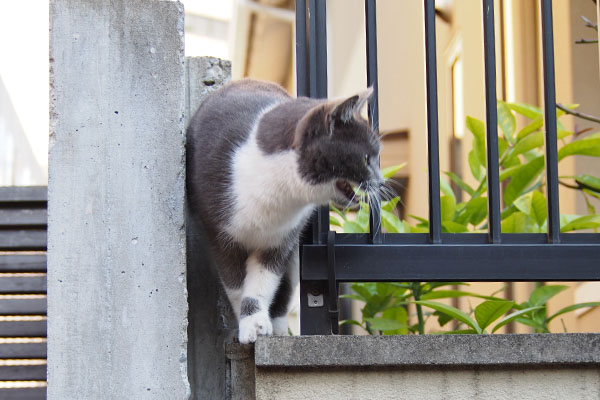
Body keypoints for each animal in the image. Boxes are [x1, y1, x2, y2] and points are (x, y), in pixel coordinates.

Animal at [188, 79, 384, 344]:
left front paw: (258, 323)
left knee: (286, 286)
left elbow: (264, 282)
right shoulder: (219, 234)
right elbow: (235, 284)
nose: (382, 182)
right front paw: (247, 324)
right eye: (366, 158)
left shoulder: (282, 240)